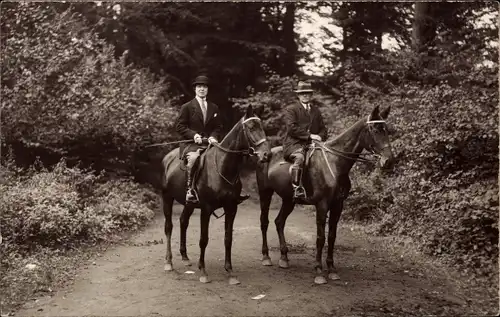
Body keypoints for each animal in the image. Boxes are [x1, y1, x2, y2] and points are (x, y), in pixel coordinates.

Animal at [159, 105, 270, 284]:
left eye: (262, 127)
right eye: (251, 127)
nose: (267, 155)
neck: (223, 167)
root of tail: (167, 157)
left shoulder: (231, 208)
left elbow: (228, 239)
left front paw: (230, 272)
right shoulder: (206, 208)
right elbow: (203, 240)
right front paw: (203, 272)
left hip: (189, 203)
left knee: (183, 222)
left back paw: (185, 257)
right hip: (167, 198)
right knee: (169, 227)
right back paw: (169, 262)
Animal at [258, 104, 394, 284]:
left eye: (387, 130)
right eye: (375, 130)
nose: (389, 161)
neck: (335, 163)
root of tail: (267, 154)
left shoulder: (338, 205)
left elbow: (332, 237)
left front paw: (332, 269)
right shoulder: (322, 205)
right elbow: (320, 238)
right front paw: (319, 271)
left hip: (289, 200)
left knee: (279, 222)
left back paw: (284, 258)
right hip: (265, 194)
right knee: (264, 222)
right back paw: (266, 257)